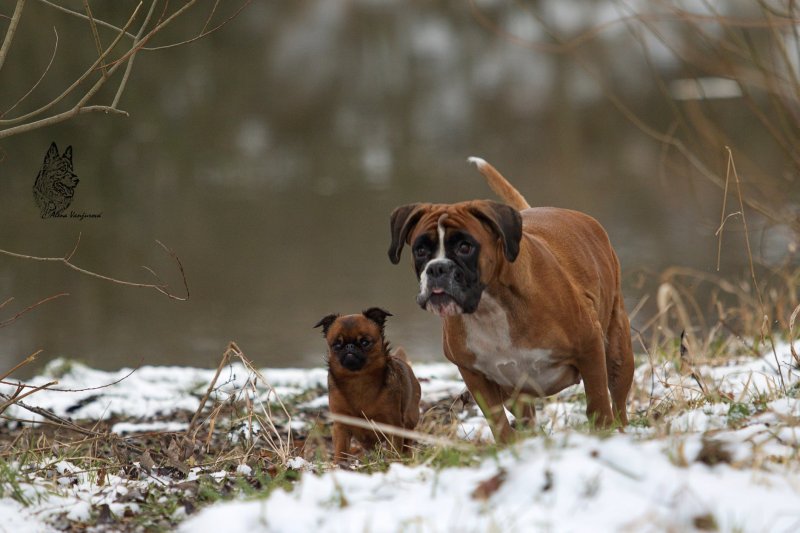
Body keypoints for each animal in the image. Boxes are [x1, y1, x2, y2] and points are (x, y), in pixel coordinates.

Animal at [314, 308, 422, 462]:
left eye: (365, 342)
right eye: (337, 344)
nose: (350, 346)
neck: (358, 378)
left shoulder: (393, 424)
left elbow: (393, 448)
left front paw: (392, 461)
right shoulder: (341, 426)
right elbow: (340, 450)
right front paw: (339, 464)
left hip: (409, 419)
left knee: (407, 442)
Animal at [390, 158, 636, 440]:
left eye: (465, 246)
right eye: (420, 250)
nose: (437, 268)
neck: (489, 308)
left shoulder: (590, 348)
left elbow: (597, 402)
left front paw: (603, 433)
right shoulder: (476, 376)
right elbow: (498, 423)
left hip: (617, 350)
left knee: (618, 400)